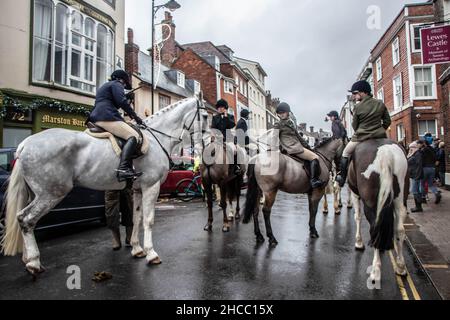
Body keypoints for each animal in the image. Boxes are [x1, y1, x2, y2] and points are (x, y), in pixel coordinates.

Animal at [0, 96, 208, 274]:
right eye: (205, 116)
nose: (208, 145)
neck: (156, 139)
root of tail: (25, 144)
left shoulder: (138, 189)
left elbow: (136, 218)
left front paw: (136, 249)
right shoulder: (151, 186)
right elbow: (148, 220)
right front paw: (151, 254)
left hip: (36, 194)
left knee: (23, 220)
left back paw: (27, 258)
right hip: (51, 193)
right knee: (26, 220)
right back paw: (34, 263)